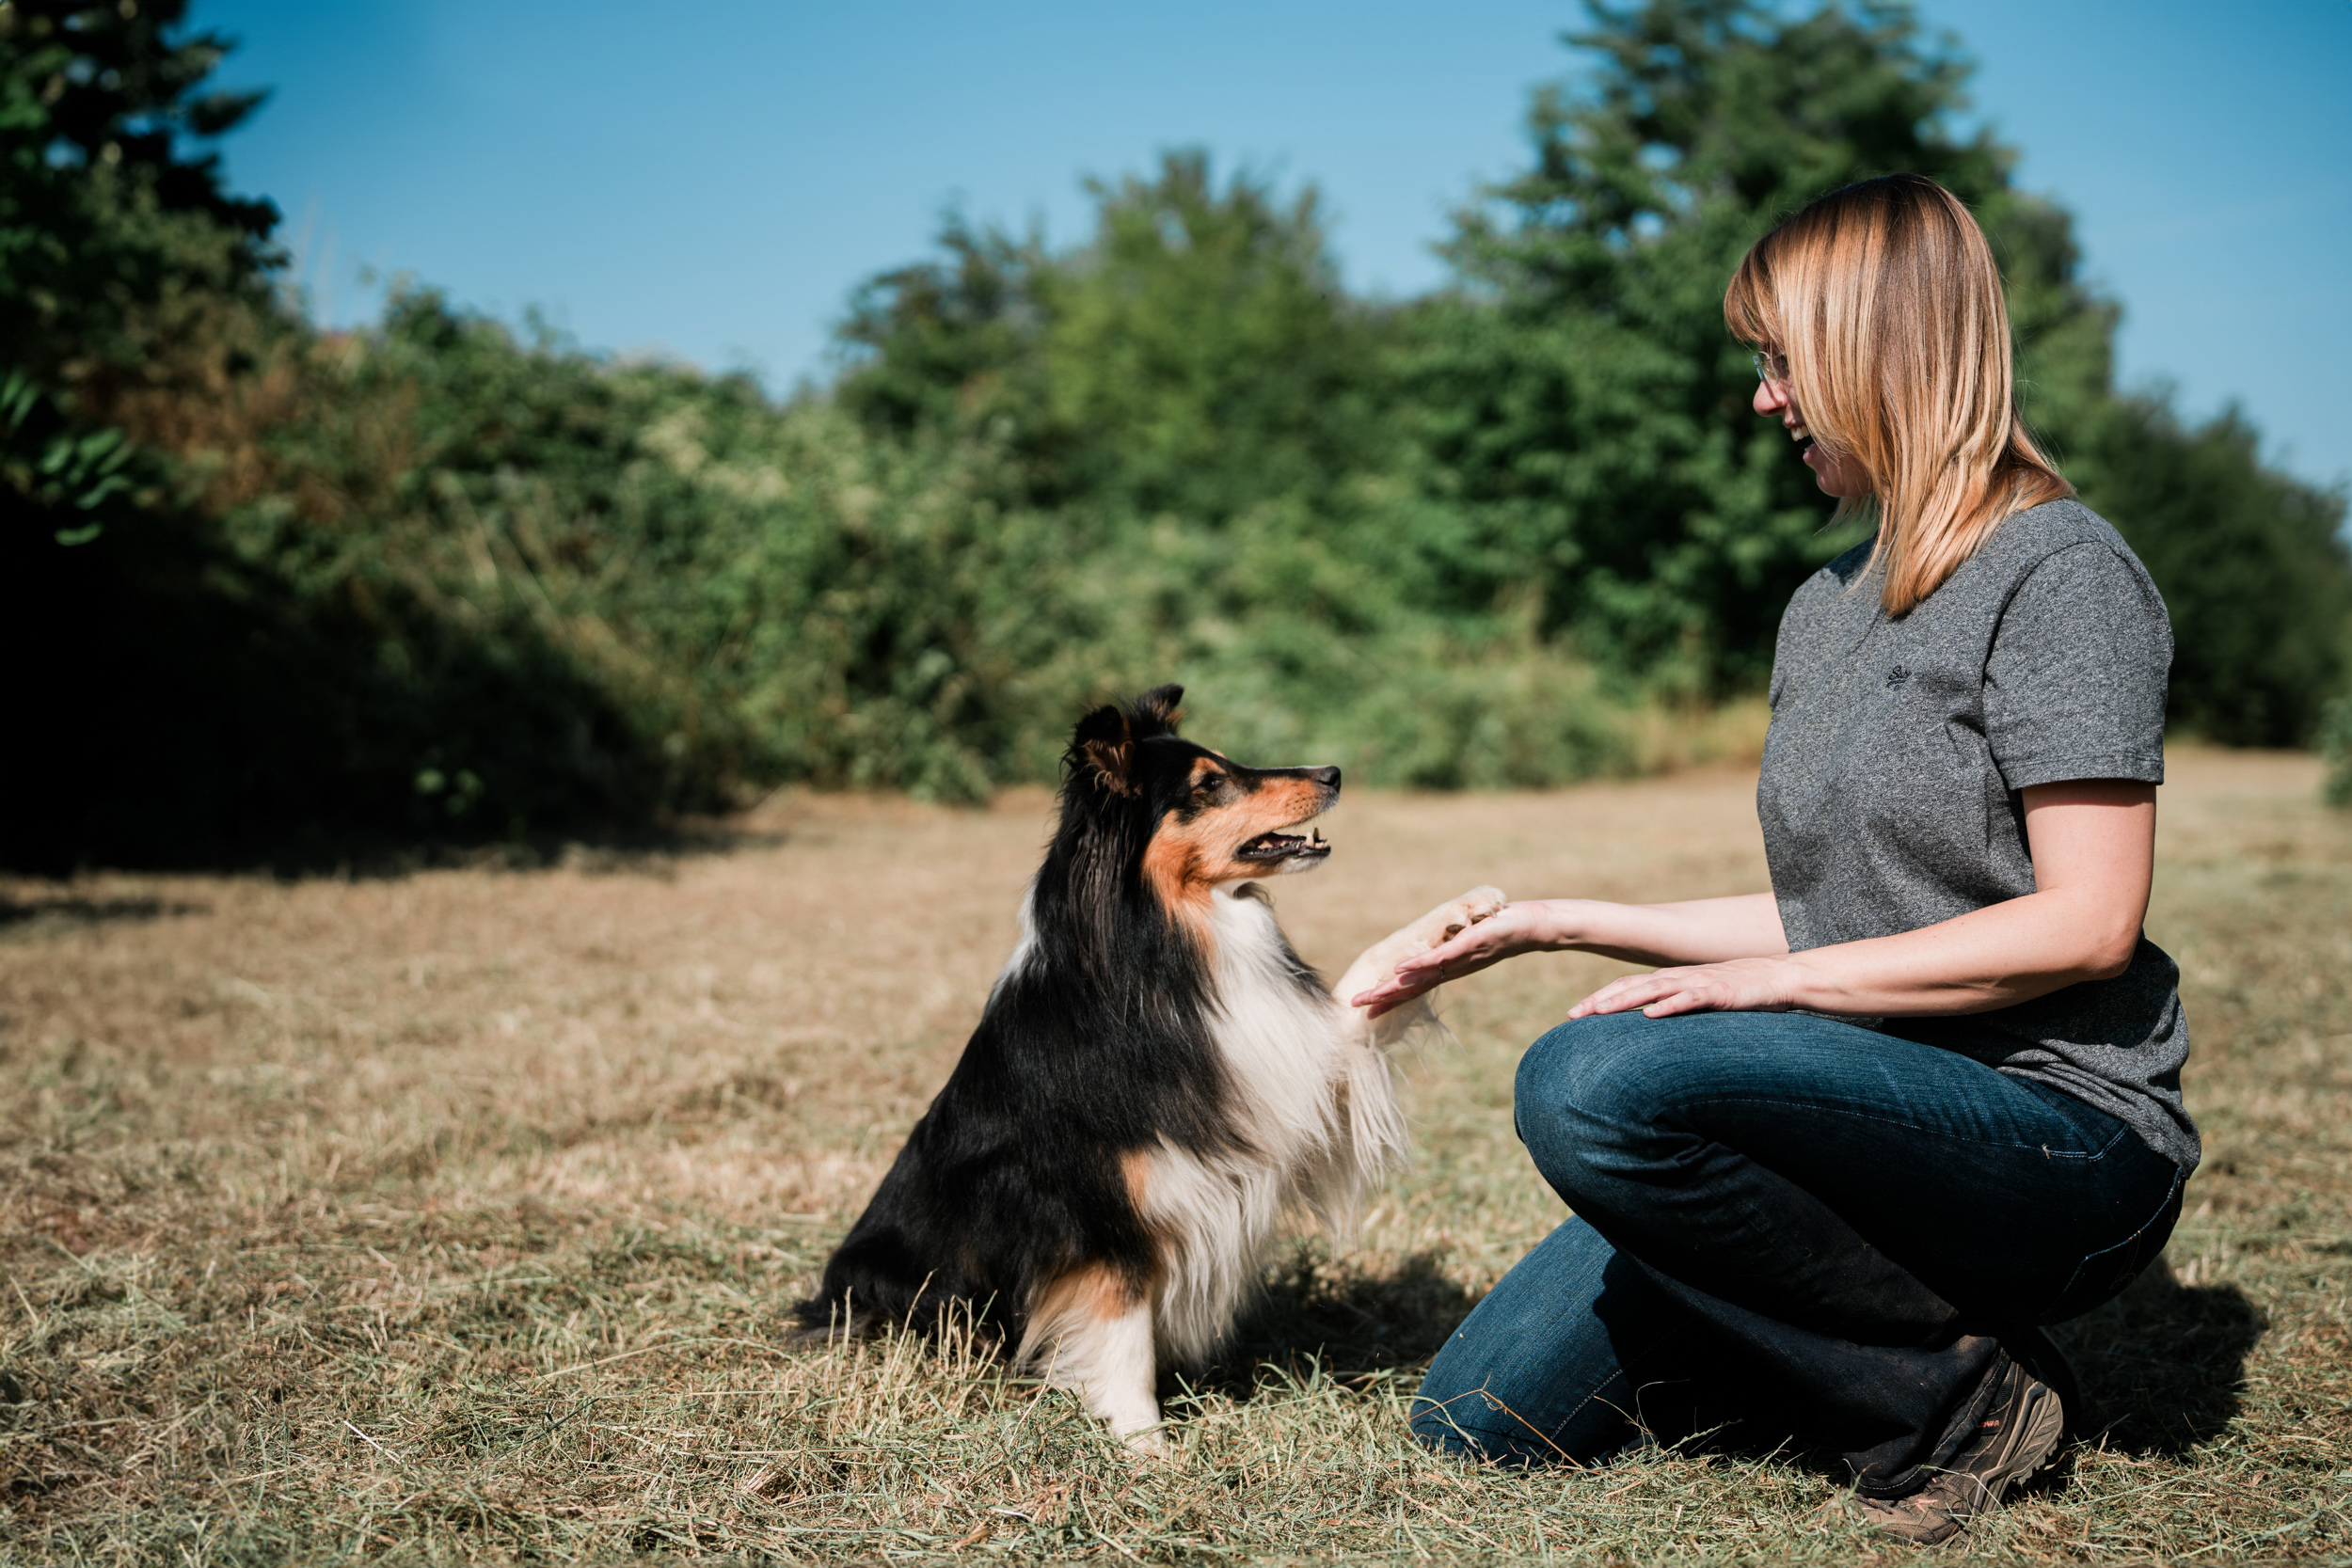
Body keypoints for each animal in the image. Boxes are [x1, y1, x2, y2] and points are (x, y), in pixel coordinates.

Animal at [795, 686, 1505, 1448]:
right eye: (1209, 784)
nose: (1333, 771)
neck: (1165, 953)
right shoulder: (1100, 1214)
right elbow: (1123, 1332)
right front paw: (1144, 1445)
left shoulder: (1292, 1067)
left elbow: (1367, 987)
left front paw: (1462, 915)